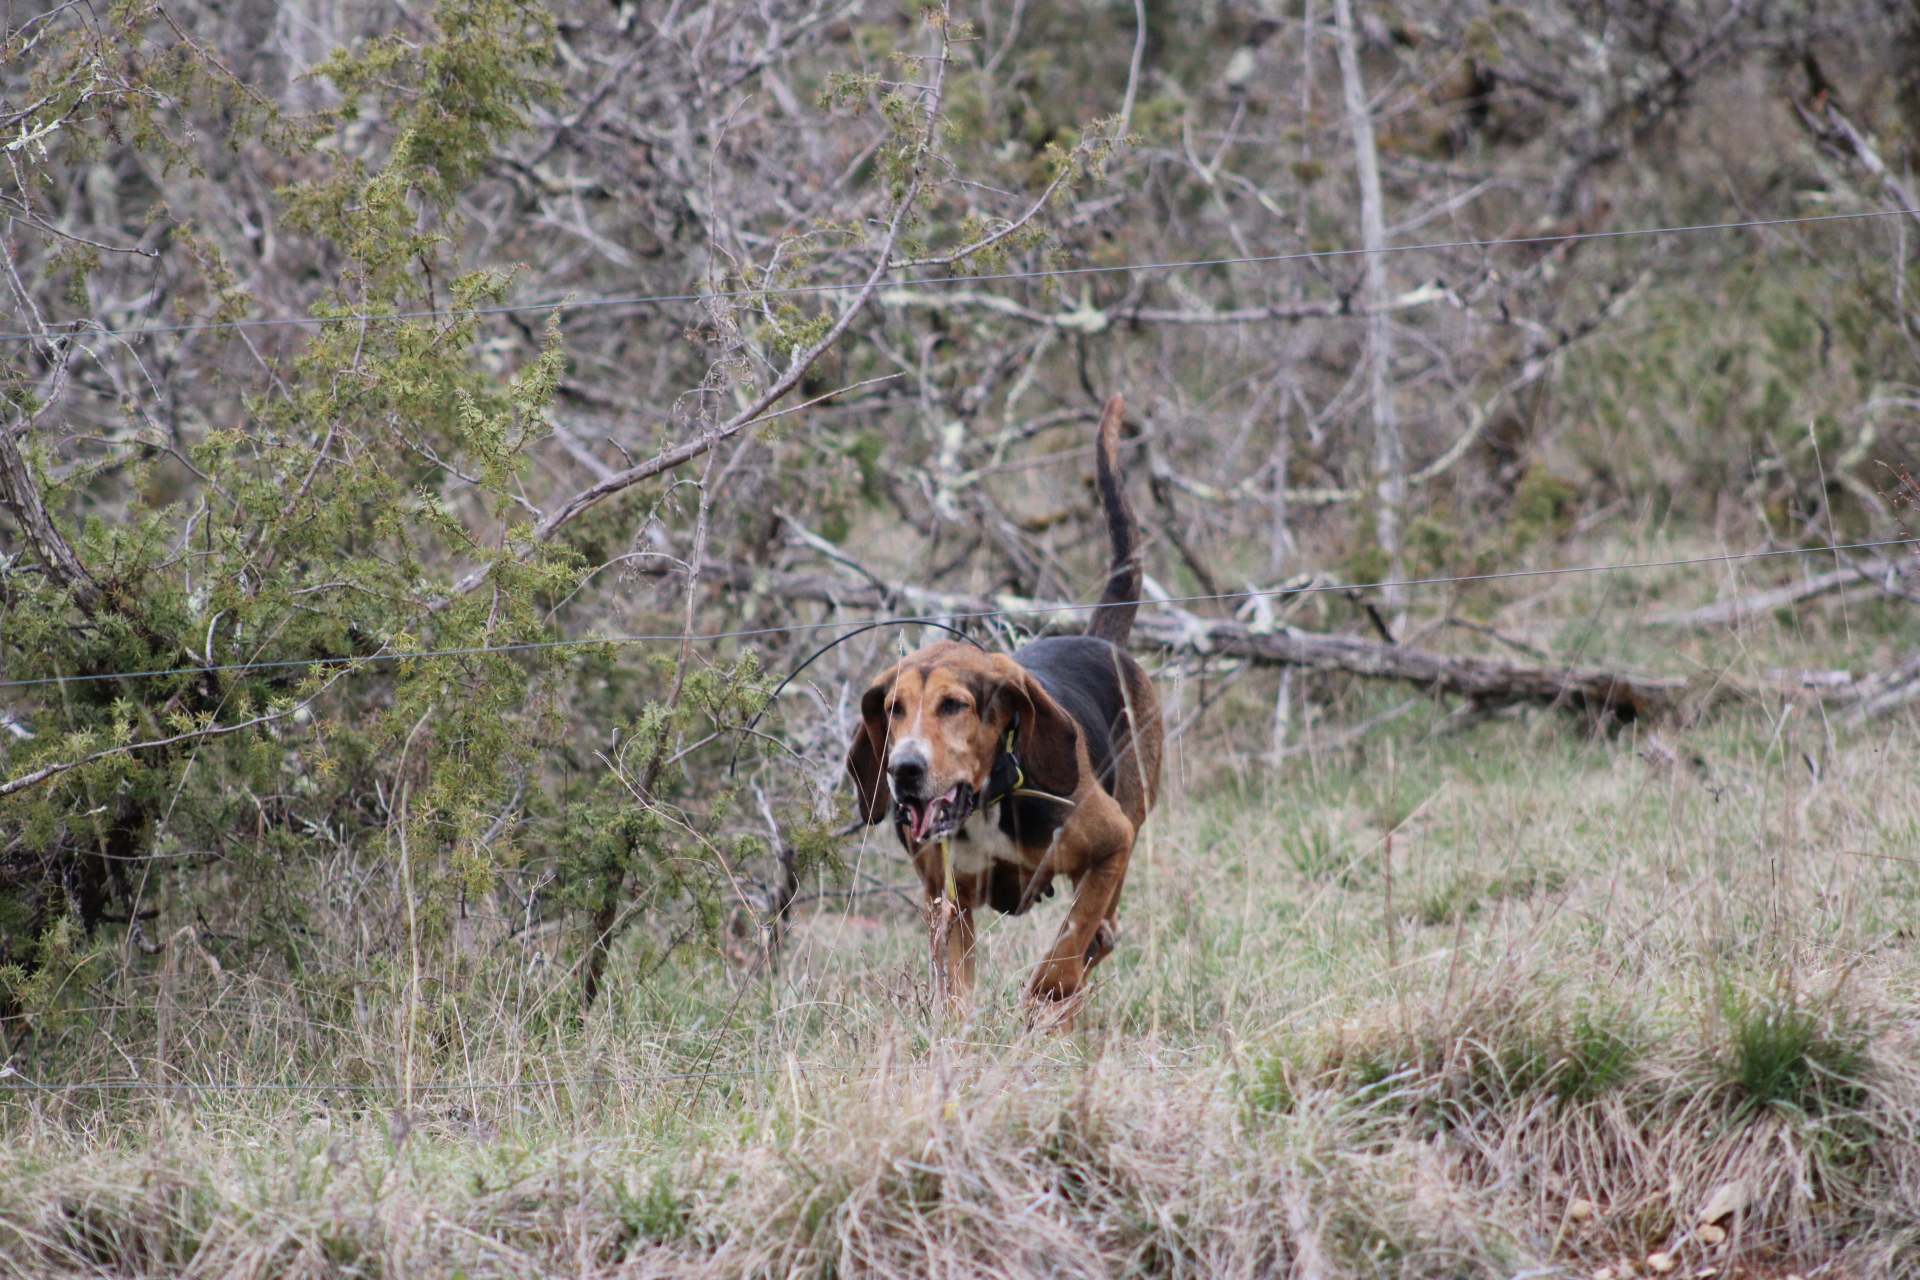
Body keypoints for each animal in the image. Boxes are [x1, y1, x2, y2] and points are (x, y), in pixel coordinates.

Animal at [845, 394, 1162, 1018]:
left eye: (954, 705)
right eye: (893, 708)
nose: (904, 771)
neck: (985, 804)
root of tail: (1102, 640)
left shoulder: (1112, 842)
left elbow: (1066, 947)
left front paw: (1045, 996)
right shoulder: (945, 901)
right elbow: (955, 992)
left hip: (1133, 815)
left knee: (1104, 929)